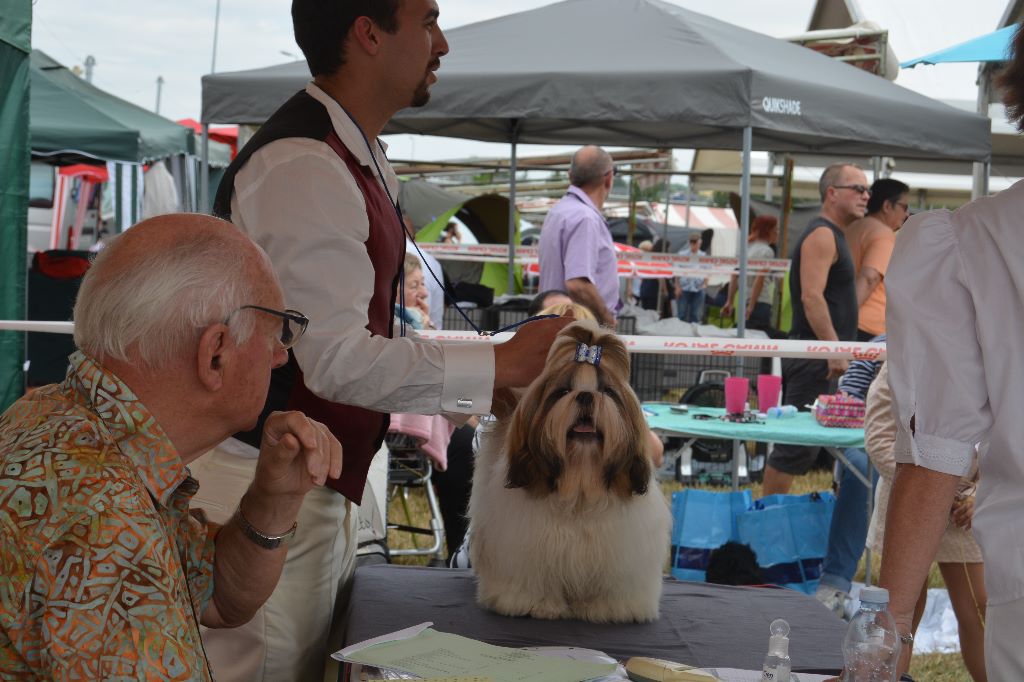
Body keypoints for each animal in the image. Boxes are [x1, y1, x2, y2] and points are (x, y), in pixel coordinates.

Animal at [466, 319, 671, 622]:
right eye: (562, 392)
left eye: (607, 392)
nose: (585, 395)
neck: (580, 484)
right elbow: (530, 579)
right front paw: (534, 604)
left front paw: (610, 608)